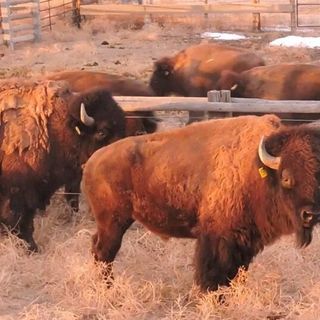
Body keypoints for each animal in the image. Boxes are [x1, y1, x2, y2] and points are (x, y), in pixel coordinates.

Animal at [80, 114, 320, 290]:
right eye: (286, 177)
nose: (311, 214)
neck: (257, 168)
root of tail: (92, 160)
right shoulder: (216, 237)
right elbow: (212, 273)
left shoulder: (246, 240)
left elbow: (236, 272)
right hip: (114, 222)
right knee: (104, 252)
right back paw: (108, 288)